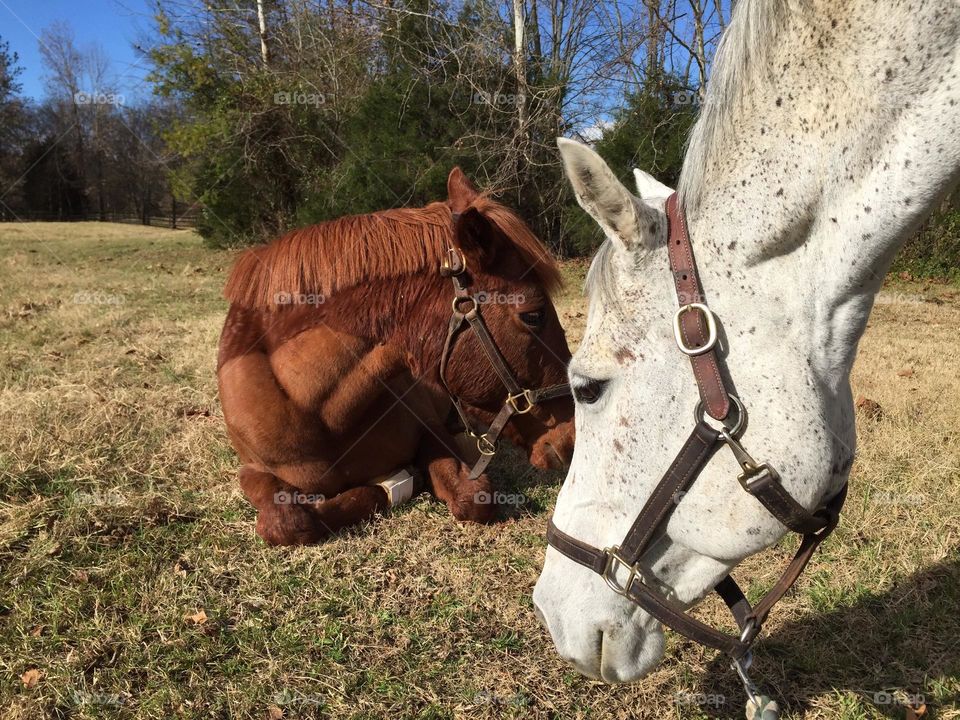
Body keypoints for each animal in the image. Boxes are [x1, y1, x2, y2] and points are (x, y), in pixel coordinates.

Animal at [218, 169, 572, 544]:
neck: (315, 410)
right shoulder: (253, 470)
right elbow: (286, 522)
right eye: (533, 315)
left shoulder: (429, 429)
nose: (572, 436)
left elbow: (473, 497)